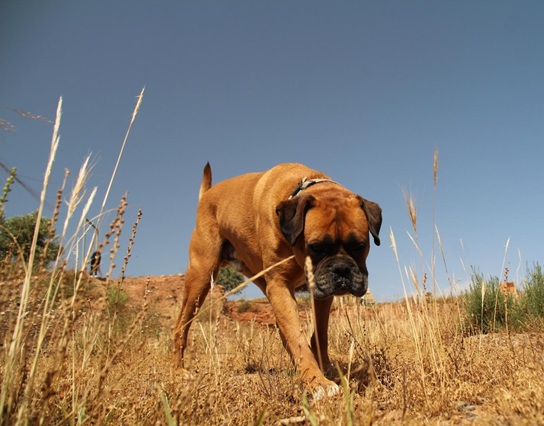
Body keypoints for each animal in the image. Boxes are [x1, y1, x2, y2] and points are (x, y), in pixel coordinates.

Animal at [172, 163, 382, 398]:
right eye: (316, 247)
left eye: (360, 246)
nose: (341, 269)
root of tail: (207, 195)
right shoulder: (281, 286)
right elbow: (297, 338)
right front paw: (316, 381)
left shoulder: (320, 295)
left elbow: (319, 334)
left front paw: (325, 368)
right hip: (200, 278)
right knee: (180, 327)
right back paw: (178, 370)